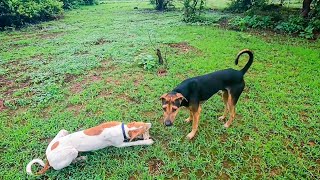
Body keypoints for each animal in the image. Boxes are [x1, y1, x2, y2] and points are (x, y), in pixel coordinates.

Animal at [26, 121, 154, 174]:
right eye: (144, 128)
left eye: (143, 123)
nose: (150, 124)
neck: (124, 129)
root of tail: (48, 158)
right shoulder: (120, 145)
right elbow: (134, 143)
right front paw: (147, 141)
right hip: (71, 151)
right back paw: (80, 159)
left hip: (63, 132)